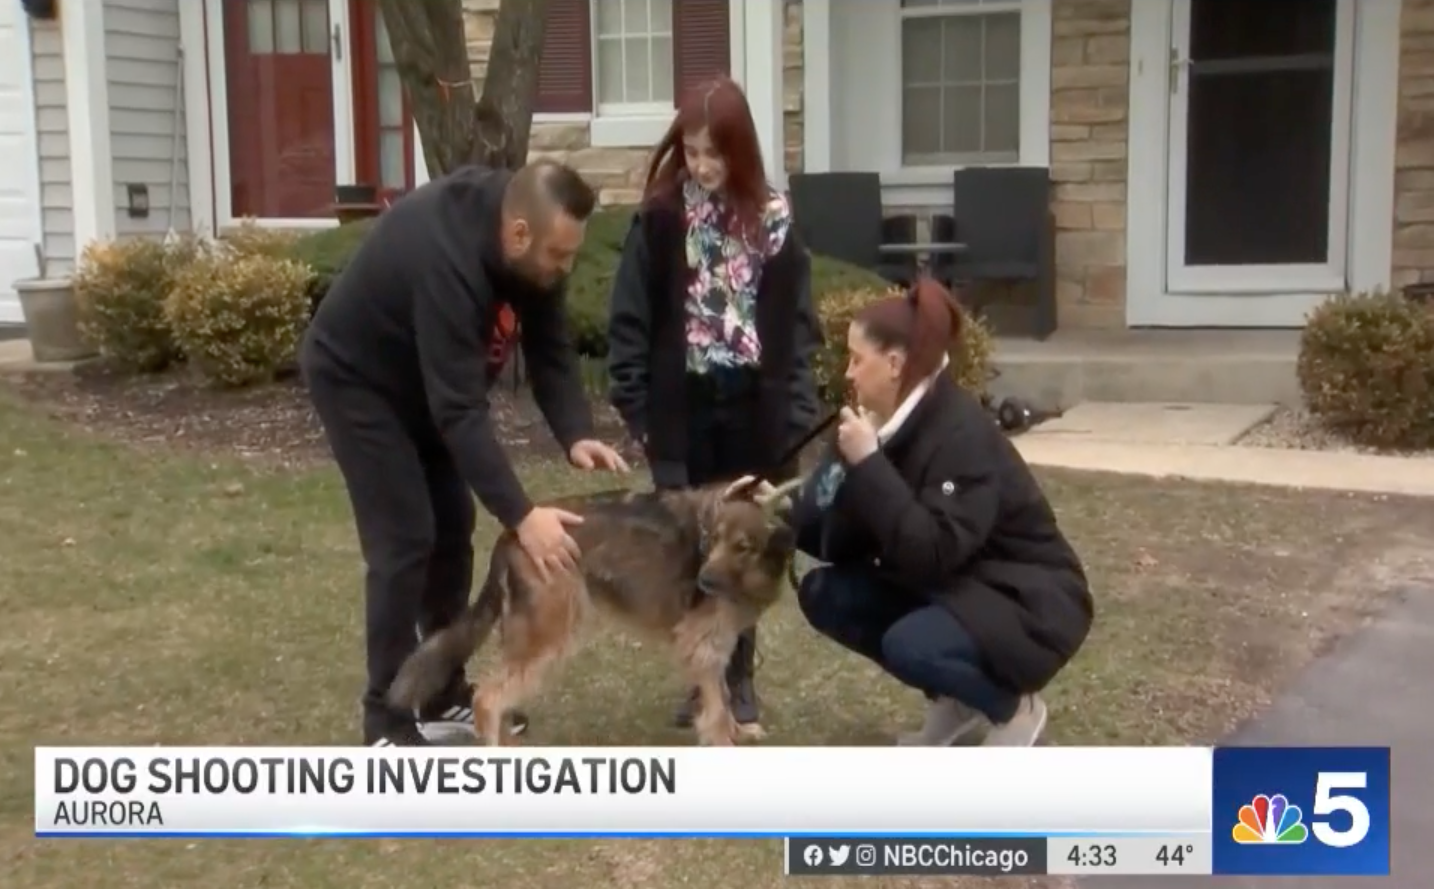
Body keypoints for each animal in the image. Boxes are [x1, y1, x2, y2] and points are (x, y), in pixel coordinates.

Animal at [387, 476, 803, 745]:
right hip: (549, 633)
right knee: (488, 698)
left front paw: (738, 730)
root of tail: (512, 534)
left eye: (742, 546)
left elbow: (724, 695)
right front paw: (724, 742)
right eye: (712, 539)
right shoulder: (700, 641)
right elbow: (716, 705)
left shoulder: (715, 641)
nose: (704, 582)